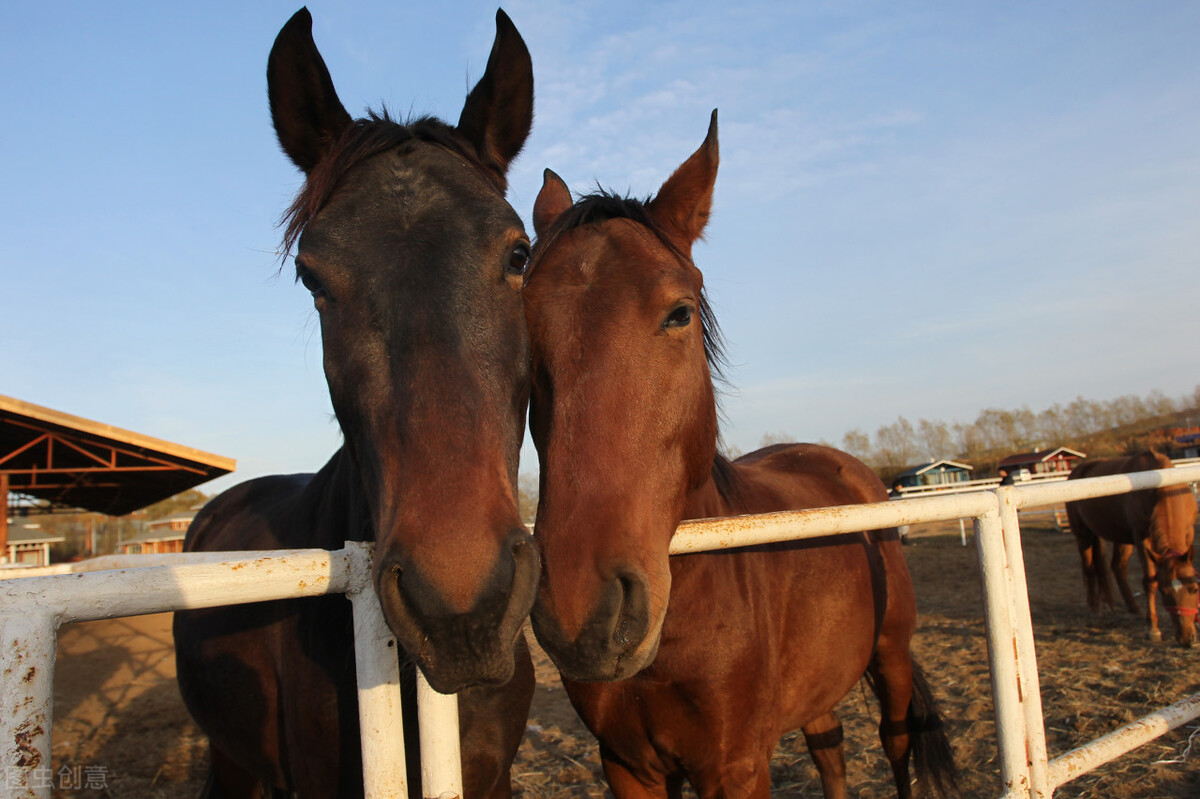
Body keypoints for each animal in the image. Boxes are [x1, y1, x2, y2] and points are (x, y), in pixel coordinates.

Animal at [521, 111, 957, 799]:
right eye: (521, 328)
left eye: (679, 314)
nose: (582, 614)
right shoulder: (626, 766)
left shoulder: (735, 766)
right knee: (829, 747)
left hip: (890, 656)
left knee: (896, 744)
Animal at [1066, 451, 1198, 647]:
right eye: (1163, 592)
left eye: (1195, 589)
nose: (1186, 639)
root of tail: (1076, 471)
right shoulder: (1141, 537)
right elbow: (1150, 581)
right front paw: (1153, 629)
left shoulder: (1189, 531)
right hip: (1084, 535)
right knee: (1090, 570)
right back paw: (1094, 610)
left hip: (1121, 538)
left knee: (1118, 567)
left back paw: (1134, 608)